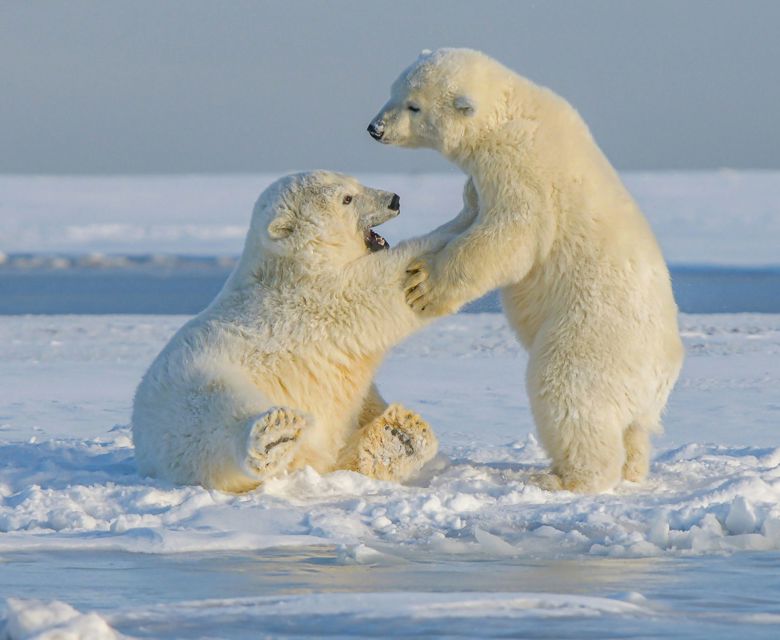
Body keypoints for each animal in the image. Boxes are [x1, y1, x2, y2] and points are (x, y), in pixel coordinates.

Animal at [132, 171, 456, 492]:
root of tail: (144, 449)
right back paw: (275, 436)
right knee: (216, 414)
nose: (394, 200)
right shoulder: (315, 298)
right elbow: (380, 286)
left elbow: (361, 398)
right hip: (193, 387)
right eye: (346, 198)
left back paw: (400, 434)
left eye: (355, 182)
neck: (289, 265)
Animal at [368, 48, 684, 493]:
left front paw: (423, 285)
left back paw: (564, 478)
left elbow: (511, 234)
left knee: (567, 393)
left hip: (592, 336)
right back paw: (632, 469)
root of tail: (662, 373)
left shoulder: (520, 166)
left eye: (414, 105)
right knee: (634, 429)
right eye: (393, 91)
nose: (375, 128)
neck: (512, 109)